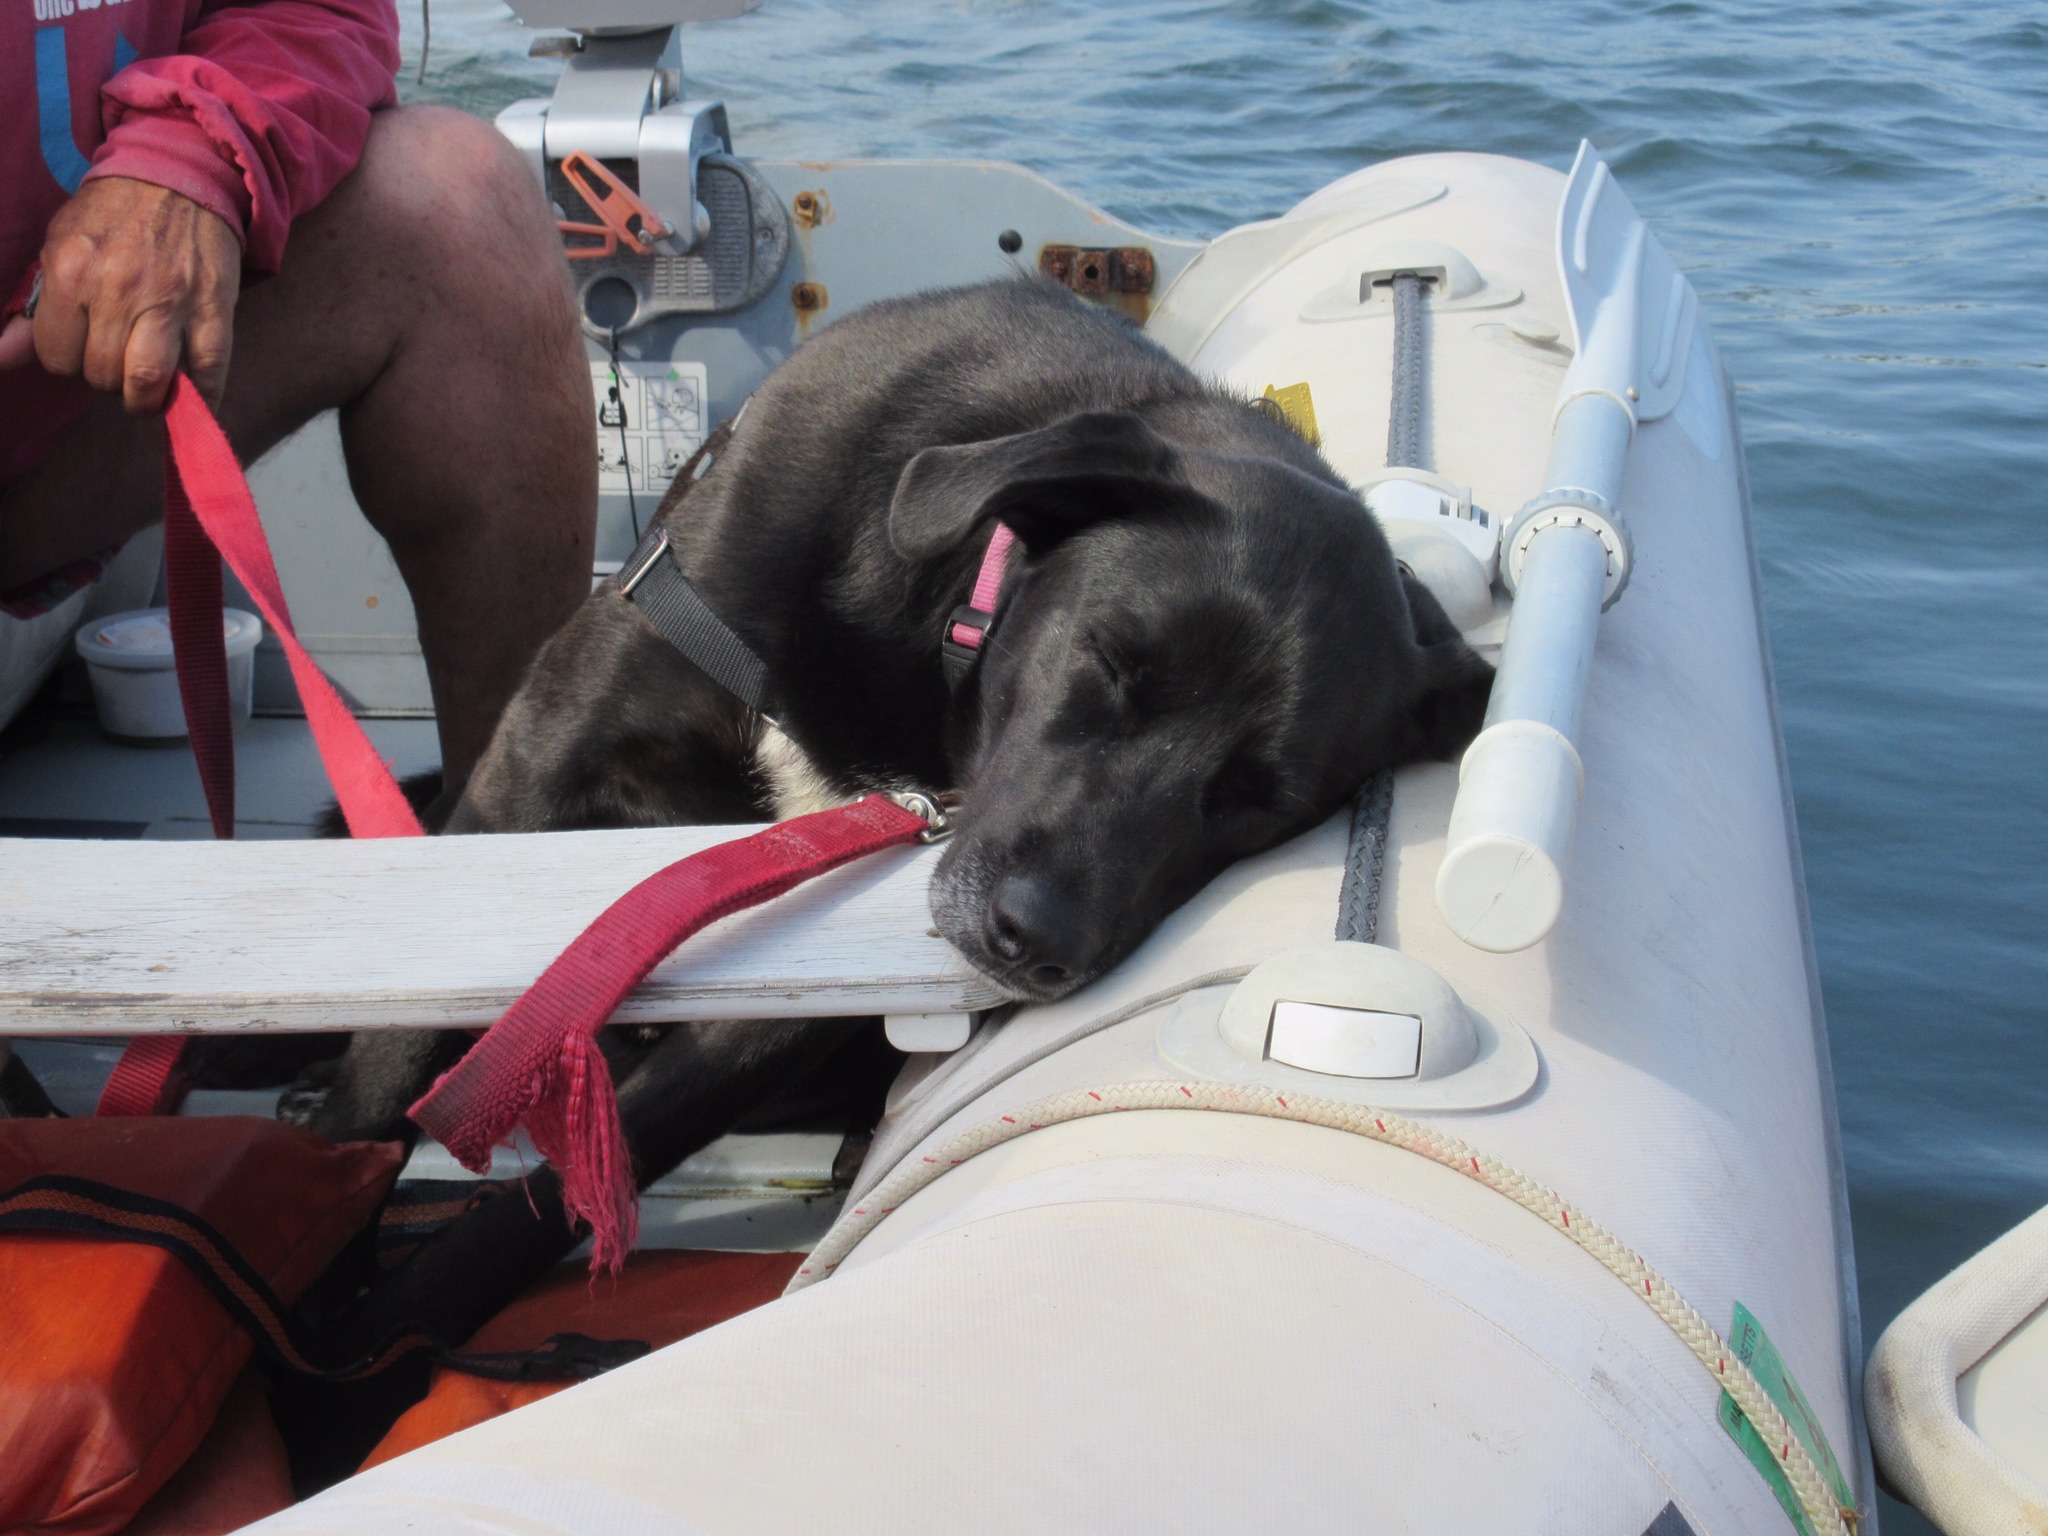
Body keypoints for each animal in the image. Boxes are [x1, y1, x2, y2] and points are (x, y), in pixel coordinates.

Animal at [284, 280, 1490, 1155]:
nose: (1032, 943)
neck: (939, 615)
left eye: (1260, 799)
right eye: (1108, 660)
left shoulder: (792, 986)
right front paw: (338, 1182)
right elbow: (394, 1056)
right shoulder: (544, 747)